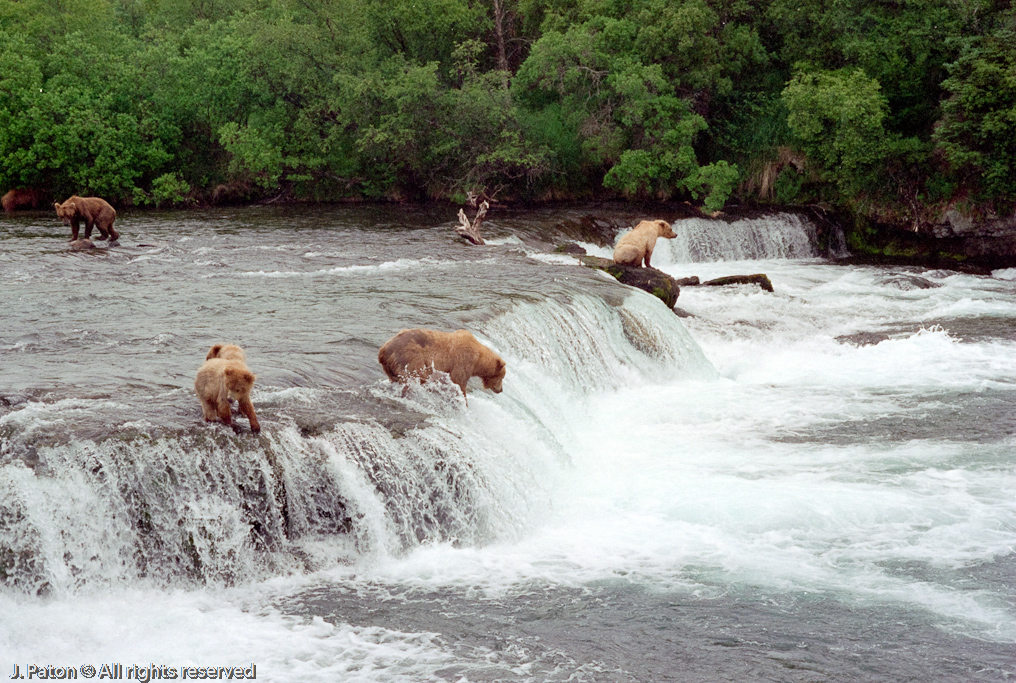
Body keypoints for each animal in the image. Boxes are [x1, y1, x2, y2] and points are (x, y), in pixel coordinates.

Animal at [378, 328, 506, 404]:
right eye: (502, 377)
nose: (501, 390)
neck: (478, 360)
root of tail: (383, 350)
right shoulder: (463, 361)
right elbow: (459, 381)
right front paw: (463, 401)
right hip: (409, 358)